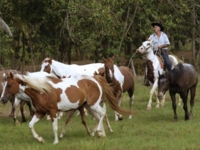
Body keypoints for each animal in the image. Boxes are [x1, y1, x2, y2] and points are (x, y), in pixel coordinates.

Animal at [0, 71, 132, 144]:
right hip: (88, 106)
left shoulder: (53, 112)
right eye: (4, 84)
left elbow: (55, 127)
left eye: (10, 85)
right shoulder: (40, 113)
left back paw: (99, 132)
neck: (42, 92)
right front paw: (40, 139)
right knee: (98, 117)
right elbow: (31, 125)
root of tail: (95, 80)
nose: (2, 99)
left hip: (94, 105)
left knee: (103, 113)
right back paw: (99, 133)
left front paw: (55, 141)